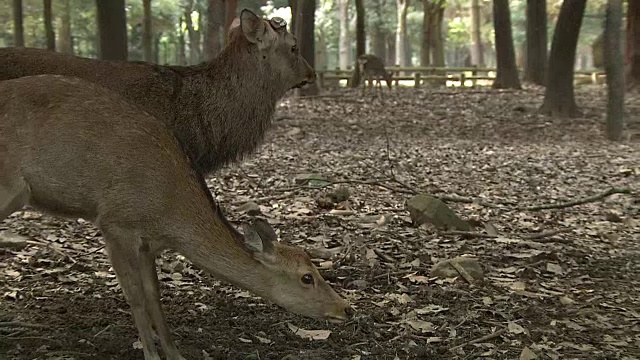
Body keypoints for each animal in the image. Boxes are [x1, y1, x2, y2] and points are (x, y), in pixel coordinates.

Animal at [0, 74, 352, 358]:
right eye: (307, 277)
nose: (346, 308)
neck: (168, 215)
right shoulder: (115, 221)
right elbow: (135, 295)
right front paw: (151, 355)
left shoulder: (148, 243)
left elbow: (155, 295)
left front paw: (174, 352)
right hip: (9, 187)